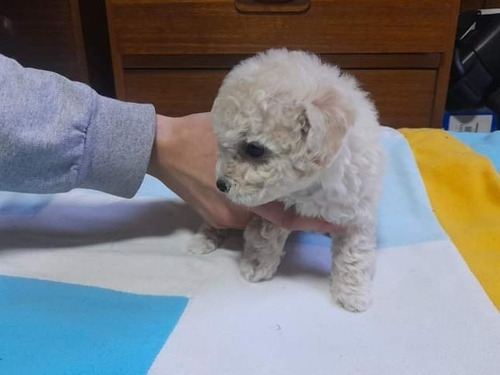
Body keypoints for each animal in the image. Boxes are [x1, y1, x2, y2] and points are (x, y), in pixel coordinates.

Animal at [188, 50, 382, 314]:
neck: (313, 186)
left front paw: (353, 294)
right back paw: (203, 240)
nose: (220, 185)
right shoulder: (271, 209)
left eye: (254, 149)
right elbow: (265, 238)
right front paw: (256, 267)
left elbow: (355, 252)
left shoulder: (358, 209)